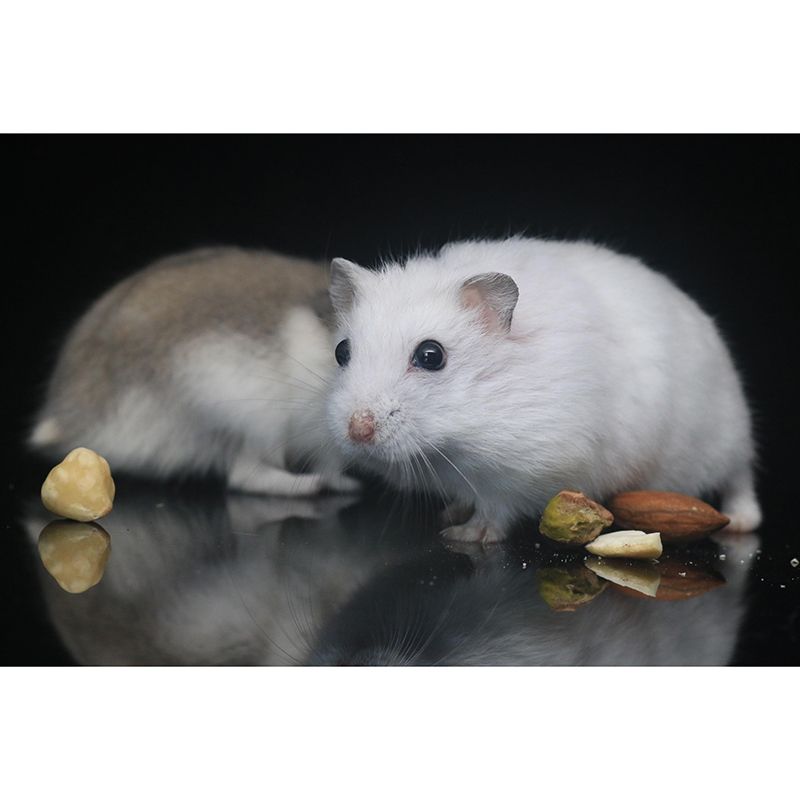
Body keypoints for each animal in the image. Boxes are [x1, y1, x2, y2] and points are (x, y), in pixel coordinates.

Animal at [29, 247, 358, 496]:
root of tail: (64, 417)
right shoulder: (319, 431)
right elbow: (329, 463)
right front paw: (344, 484)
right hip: (255, 424)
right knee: (244, 477)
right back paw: (314, 486)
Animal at [326, 237, 762, 544]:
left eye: (431, 355)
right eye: (341, 351)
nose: (357, 432)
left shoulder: (532, 468)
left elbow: (495, 510)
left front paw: (465, 536)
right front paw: (452, 514)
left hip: (725, 438)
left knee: (740, 477)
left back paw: (740, 522)